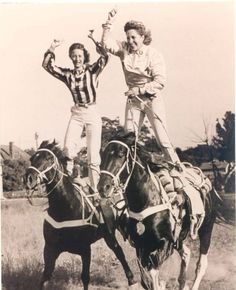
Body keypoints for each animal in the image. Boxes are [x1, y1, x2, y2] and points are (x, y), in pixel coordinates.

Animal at [24, 140, 136, 290]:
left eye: (48, 158)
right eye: (32, 158)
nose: (28, 178)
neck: (66, 209)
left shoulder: (85, 249)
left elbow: (85, 277)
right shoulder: (50, 249)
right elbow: (44, 277)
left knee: (120, 252)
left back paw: (132, 279)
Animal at [97, 133, 227, 290]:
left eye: (121, 154)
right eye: (102, 156)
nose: (103, 187)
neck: (147, 202)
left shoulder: (166, 244)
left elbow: (153, 274)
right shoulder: (141, 246)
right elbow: (145, 279)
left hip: (206, 229)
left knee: (201, 265)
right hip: (180, 238)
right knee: (186, 253)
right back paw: (182, 282)